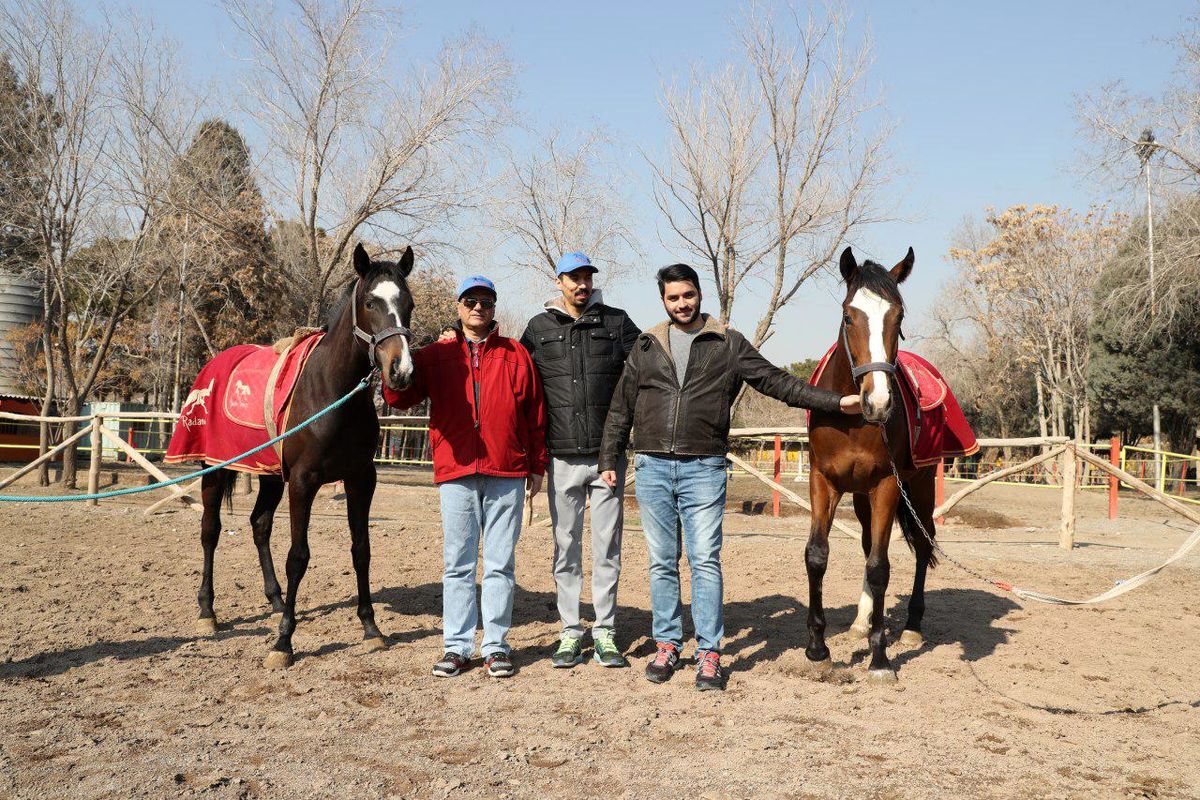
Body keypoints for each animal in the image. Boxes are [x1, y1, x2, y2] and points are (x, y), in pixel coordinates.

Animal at [196, 242, 417, 671]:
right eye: (370, 302)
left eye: (408, 304)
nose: (401, 371)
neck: (332, 391)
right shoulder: (303, 481)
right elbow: (298, 556)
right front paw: (284, 642)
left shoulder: (361, 478)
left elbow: (361, 550)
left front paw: (371, 628)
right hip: (213, 469)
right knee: (210, 531)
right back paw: (207, 612)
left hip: (268, 474)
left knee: (259, 525)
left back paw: (277, 600)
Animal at [806, 247, 936, 686]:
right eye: (849, 316)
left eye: (899, 317)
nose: (878, 402)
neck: (853, 422)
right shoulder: (823, 481)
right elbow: (818, 556)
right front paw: (818, 649)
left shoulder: (886, 486)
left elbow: (881, 567)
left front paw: (879, 659)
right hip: (861, 497)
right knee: (866, 545)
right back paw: (862, 623)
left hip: (922, 487)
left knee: (923, 545)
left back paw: (912, 626)